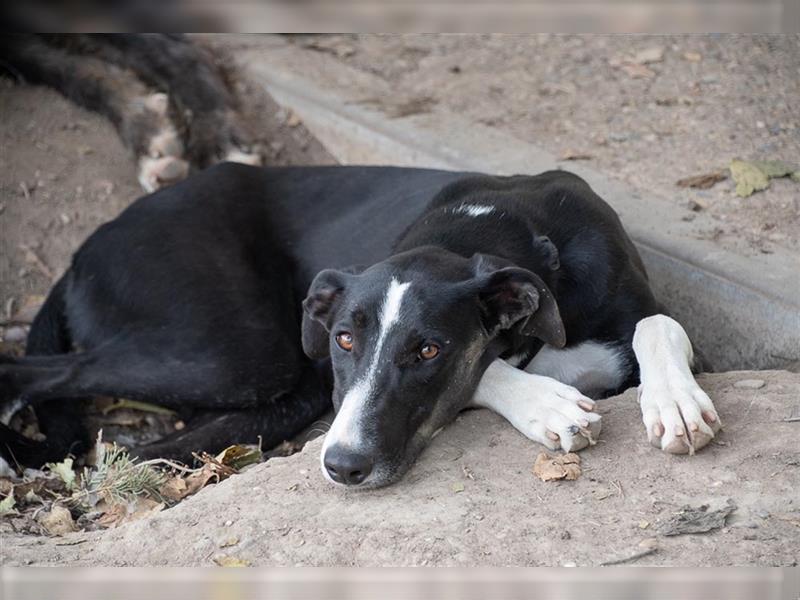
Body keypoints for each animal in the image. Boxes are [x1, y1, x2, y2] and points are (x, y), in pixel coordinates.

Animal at [0, 163, 724, 488]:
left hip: (274, 381)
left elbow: (658, 325)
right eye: (345, 338)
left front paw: (676, 404)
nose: (342, 466)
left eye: (428, 349)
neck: (511, 226)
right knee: (25, 372)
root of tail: (85, 248)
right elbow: (488, 371)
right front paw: (547, 404)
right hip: (233, 352)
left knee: (135, 450)